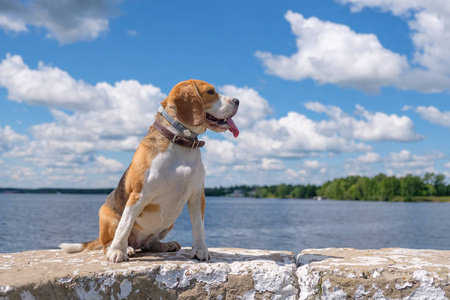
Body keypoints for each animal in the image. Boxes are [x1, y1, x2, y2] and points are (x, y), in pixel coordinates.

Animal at [59, 79, 239, 262]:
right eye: (210, 92)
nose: (238, 101)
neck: (181, 144)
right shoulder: (139, 195)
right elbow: (124, 226)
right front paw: (117, 251)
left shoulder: (197, 196)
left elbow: (199, 226)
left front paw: (200, 249)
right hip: (105, 213)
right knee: (109, 241)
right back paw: (124, 248)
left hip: (168, 224)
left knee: (148, 244)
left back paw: (165, 245)